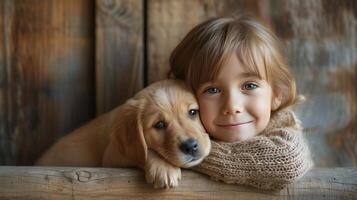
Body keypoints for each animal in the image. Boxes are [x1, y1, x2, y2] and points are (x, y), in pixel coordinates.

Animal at [36, 79, 210, 188]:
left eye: (193, 112)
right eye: (159, 125)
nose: (191, 146)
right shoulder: (112, 155)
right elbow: (145, 152)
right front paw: (164, 168)